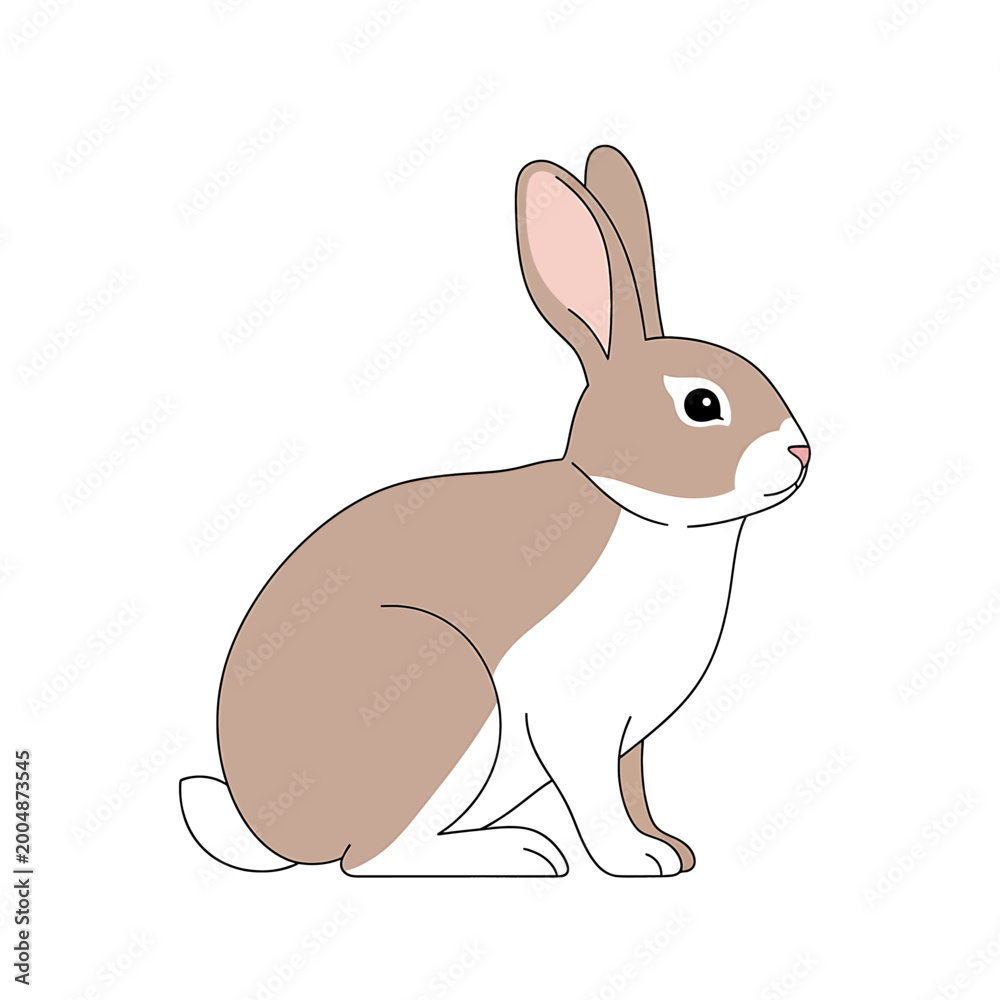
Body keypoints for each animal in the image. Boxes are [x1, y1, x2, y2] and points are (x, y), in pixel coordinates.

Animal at [180, 145, 810, 878]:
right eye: (702, 405)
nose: (801, 450)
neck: (643, 513)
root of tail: (269, 831)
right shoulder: (575, 722)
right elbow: (596, 797)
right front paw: (635, 861)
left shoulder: (629, 739)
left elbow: (632, 789)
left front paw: (670, 849)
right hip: (444, 690)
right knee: (372, 857)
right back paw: (526, 852)